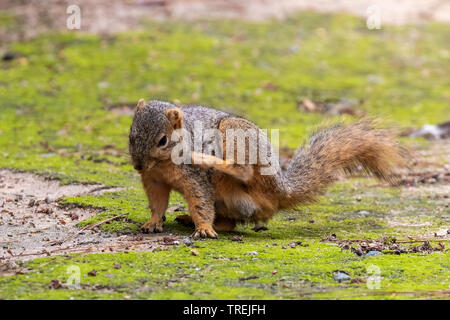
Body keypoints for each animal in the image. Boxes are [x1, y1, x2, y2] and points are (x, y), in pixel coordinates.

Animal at [128, 99, 406, 238]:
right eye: (130, 135)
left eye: (162, 140)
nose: (138, 166)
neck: (162, 165)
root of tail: (280, 189)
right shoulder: (154, 180)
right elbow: (157, 203)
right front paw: (152, 223)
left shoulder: (194, 178)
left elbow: (200, 201)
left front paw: (204, 228)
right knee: (230, 223)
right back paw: (189, 219)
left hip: (237, 136)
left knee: (241, 172)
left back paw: (208, 162)